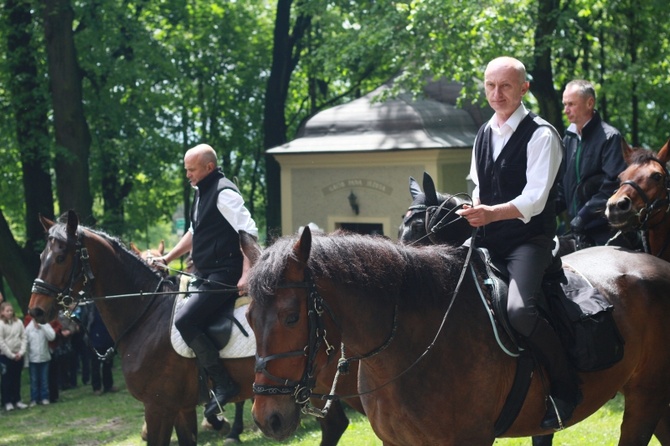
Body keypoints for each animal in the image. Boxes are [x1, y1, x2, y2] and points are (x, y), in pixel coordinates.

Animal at [28, 212, 362, 446]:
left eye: (61, 257)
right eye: (41, 257)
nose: (36, 309)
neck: (147, 315)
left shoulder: (158, 407)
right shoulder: (181, 407)